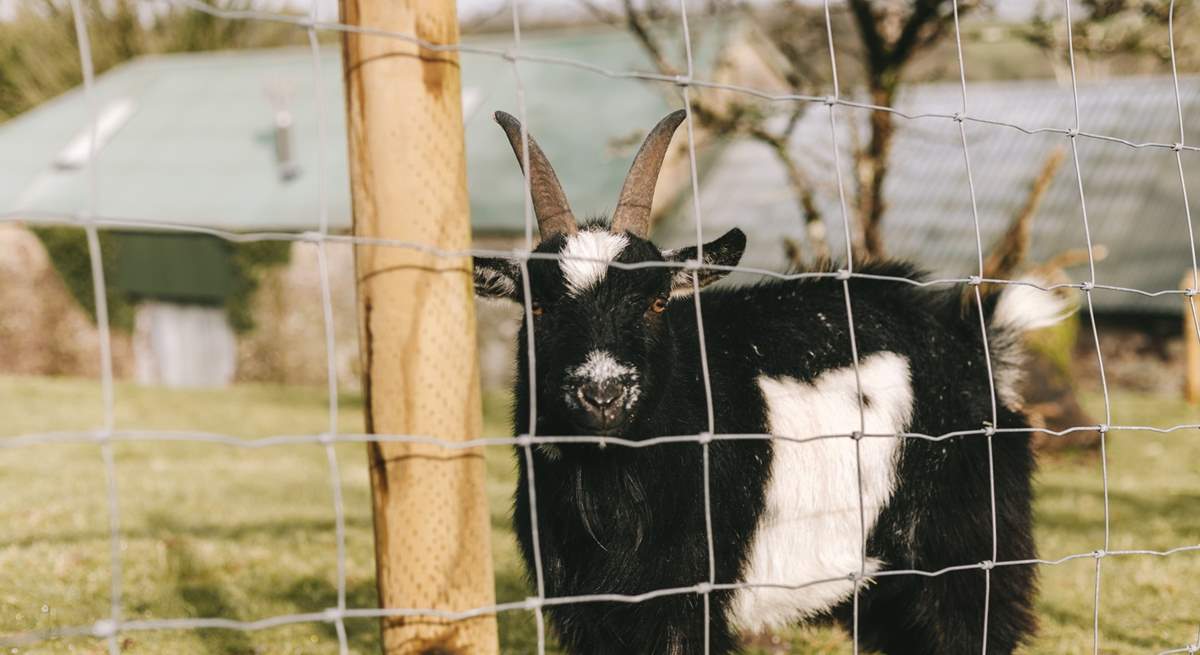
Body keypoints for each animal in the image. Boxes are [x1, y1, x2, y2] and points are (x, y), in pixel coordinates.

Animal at [472, 109, 1065, 647]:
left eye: (658, 301)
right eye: (537, 308)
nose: (603, 393)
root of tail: (973, 341)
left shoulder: (687, 596)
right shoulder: (588, 607)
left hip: (966, 553)